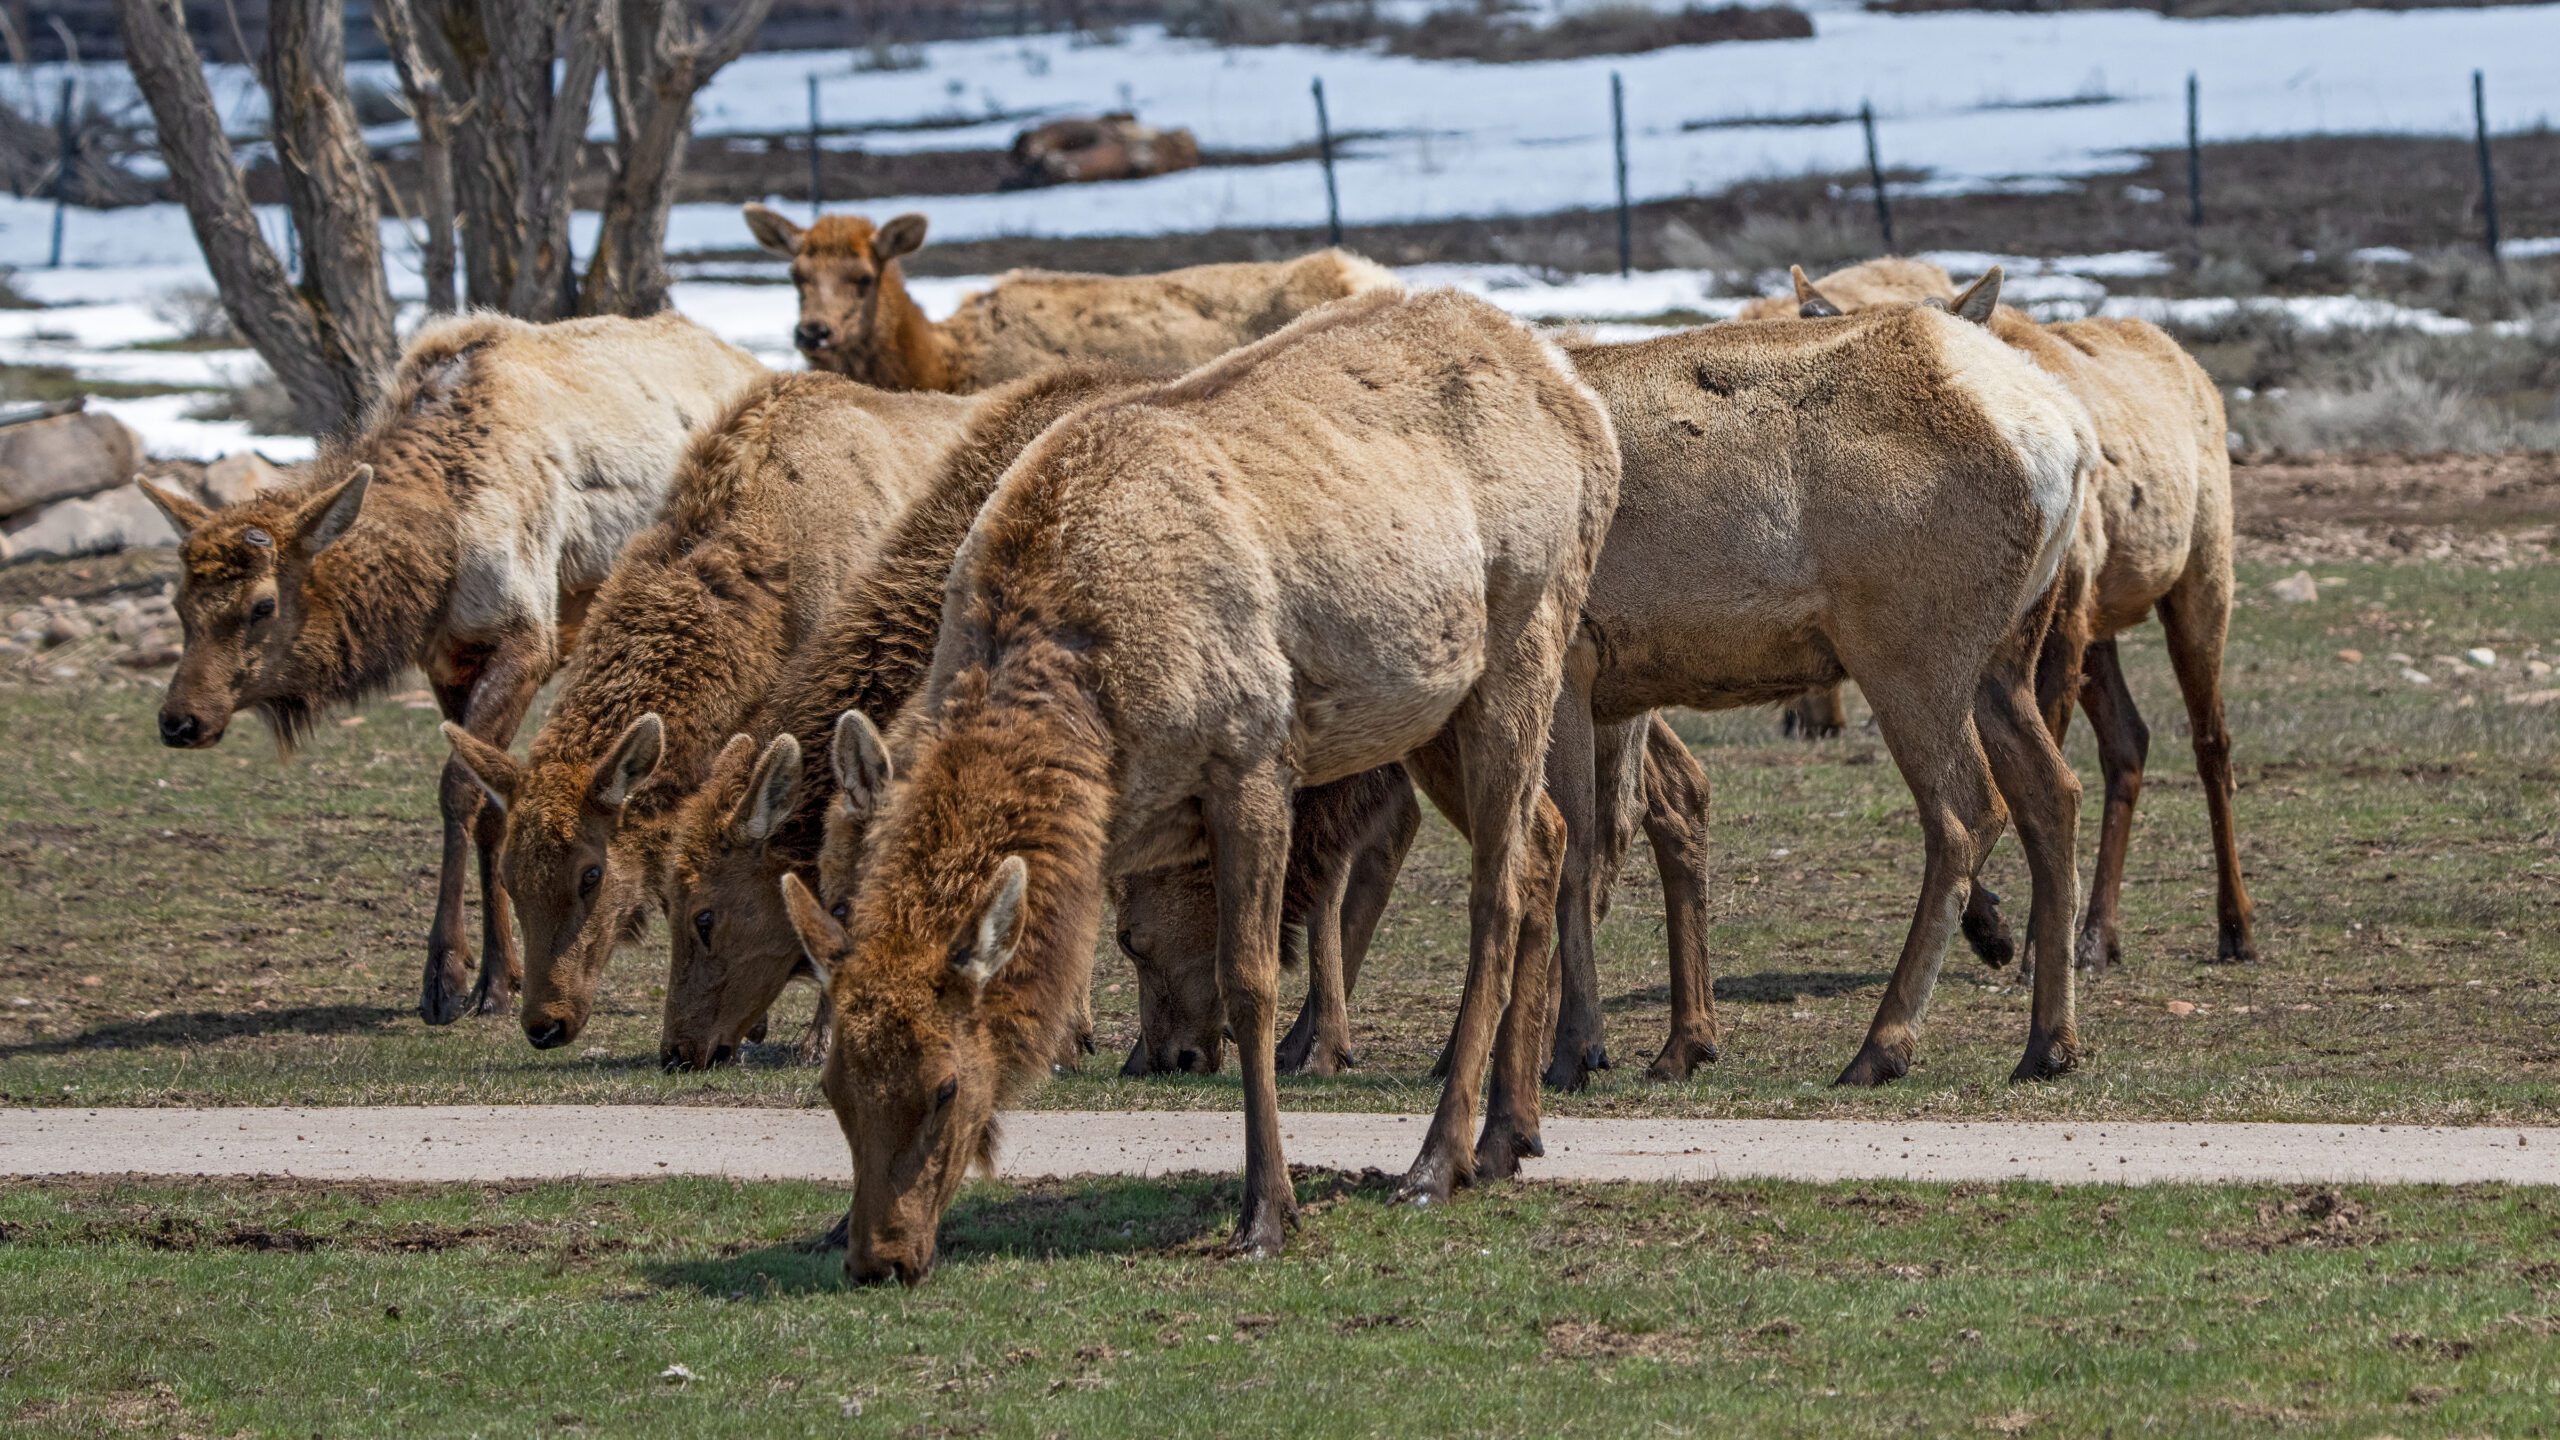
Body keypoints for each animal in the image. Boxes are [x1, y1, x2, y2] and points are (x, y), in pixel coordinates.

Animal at [140, 312, 757, 1019]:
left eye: (262, 605)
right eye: (179, 603)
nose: (179, 720)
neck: (436, 561)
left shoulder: (526, 640)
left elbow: (462, 792)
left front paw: (449, 978)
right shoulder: (447, 662)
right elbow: (495, 809)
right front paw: (500, 974)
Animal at [778, 285, 1617, 1270]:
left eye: (947, 1086)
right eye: (838, 1090)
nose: (883, 1255)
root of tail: (1584, 408)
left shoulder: (1250, 757)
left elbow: (1246, 984)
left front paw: (1266, 1212)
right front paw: (830, 1224)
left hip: (1525, 645)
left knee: (1496, 895)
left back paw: (1435, 1161)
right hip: (1430, 708)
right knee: (1544, 839)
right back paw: (1510, 1135)